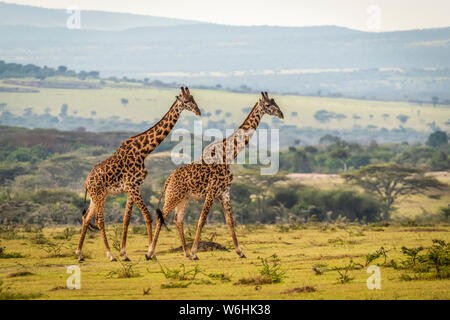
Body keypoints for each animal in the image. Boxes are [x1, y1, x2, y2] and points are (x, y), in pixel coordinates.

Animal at [75, 86, 200, 262]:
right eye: (187, 101)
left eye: (194, 98)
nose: (198, 111)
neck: (144, 150)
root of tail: (86, 182)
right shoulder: (132, 186)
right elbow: (147, 215)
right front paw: (150, 252)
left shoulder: (131, 188)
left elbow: (126, 219)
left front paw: (125, 253)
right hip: (99, 195)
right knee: (99, 220)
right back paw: (110, 255)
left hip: (97, 196)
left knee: (86, 218)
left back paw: (79, 254)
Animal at [147, 92, 282, 260]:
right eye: (268, 105)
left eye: (275, 102)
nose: (281, 114)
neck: (229, 155)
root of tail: (168, 179)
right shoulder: (212, 191)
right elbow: (201, 220)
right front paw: (195, 252)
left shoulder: (224, 192)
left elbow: (230, 221)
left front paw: (240, 252)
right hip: (173, 196)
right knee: (162, 217)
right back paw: (150, 253)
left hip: (183, 198)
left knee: (178, 220)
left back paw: (185, 253)